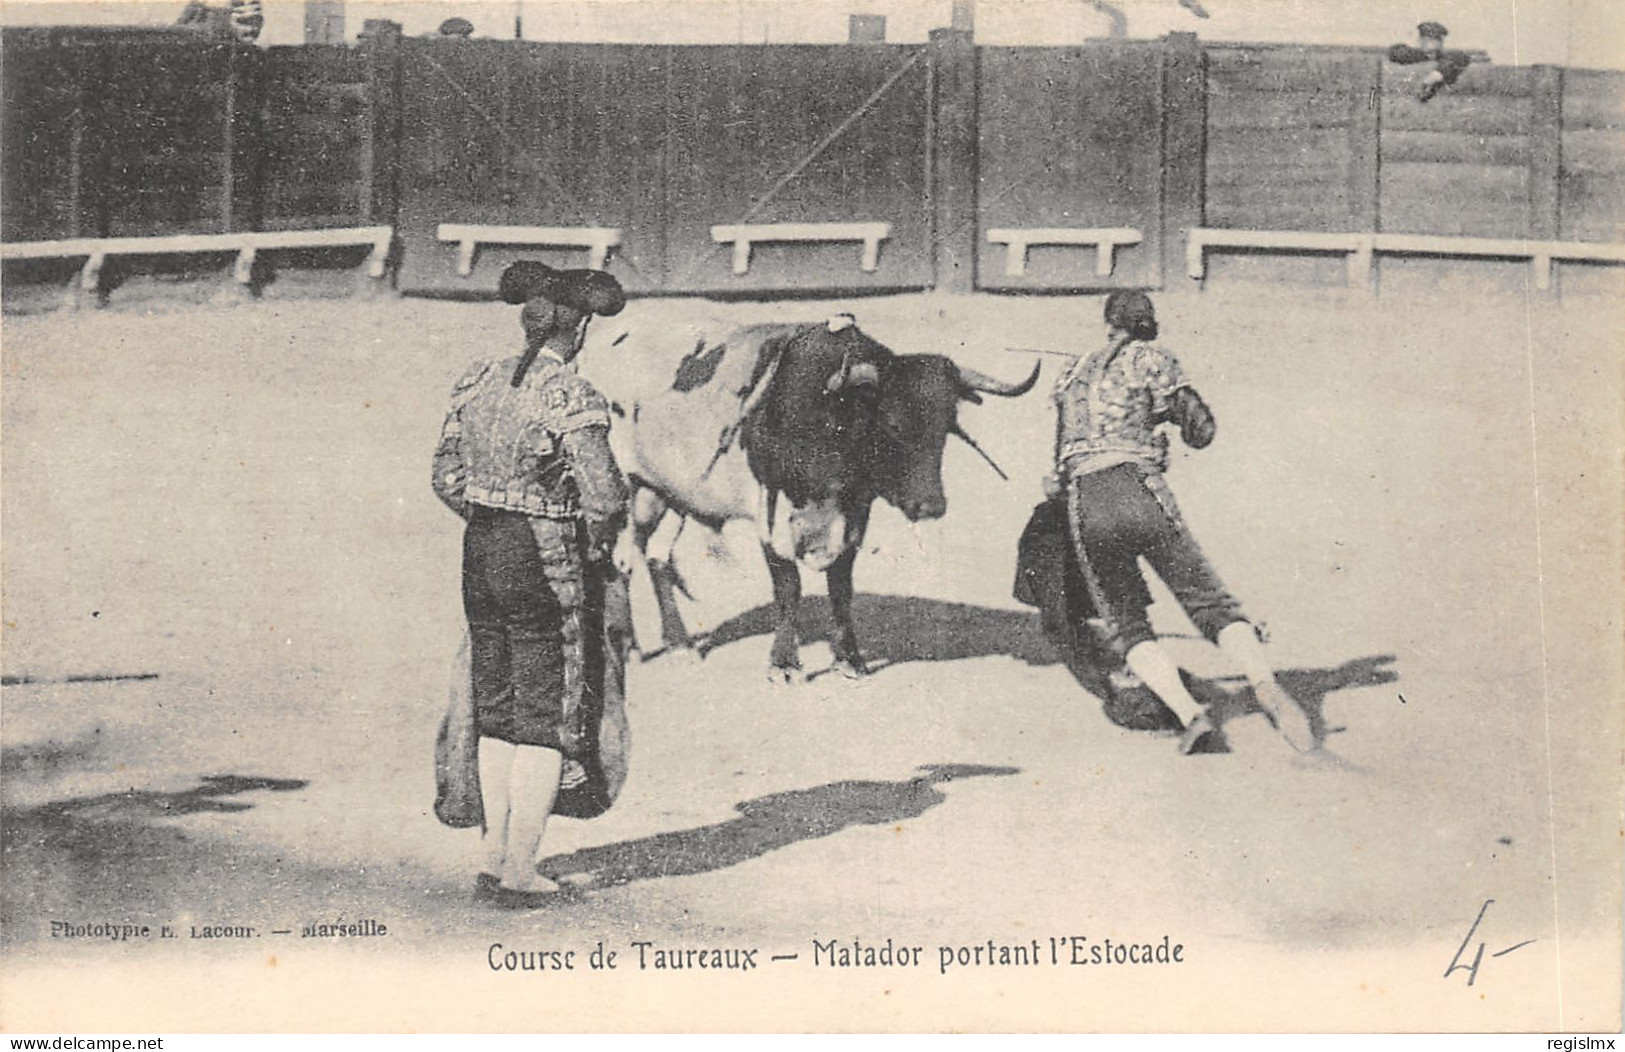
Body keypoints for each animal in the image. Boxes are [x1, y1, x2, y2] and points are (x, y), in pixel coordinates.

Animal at [611, 312, 1040, 682]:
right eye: (891, 424)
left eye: (947, 426)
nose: (931, 506)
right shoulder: (771, 514)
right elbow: (788, 587)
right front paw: (784, 663)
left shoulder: (855, 514)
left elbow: (840, 586)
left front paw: (848, 659)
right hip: (626, 489)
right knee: (622, 562)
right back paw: (630, 647)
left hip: (669, 492)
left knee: (656, 558)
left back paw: (678, 644)